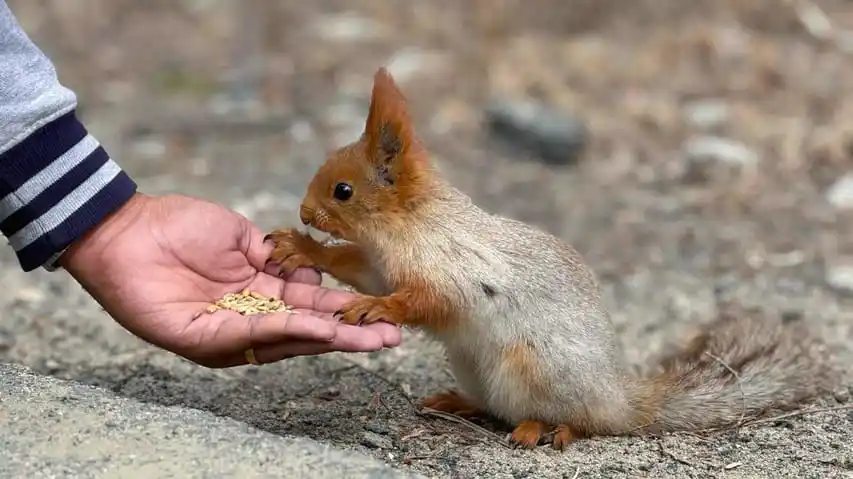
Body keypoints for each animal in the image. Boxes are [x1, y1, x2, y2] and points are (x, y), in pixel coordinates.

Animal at [266, 66, 840, 450]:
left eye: (342, 191)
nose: (303, 212)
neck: (405, 225)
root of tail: (621, 399)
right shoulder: (378, 264)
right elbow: (354, 267)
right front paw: (301, 247)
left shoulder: (452, 268)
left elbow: (426, 300)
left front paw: (379, 309)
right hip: (475, 366)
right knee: (495, 406)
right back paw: (459, 402)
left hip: (535, 369)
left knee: (582, 423)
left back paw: (544, 429)